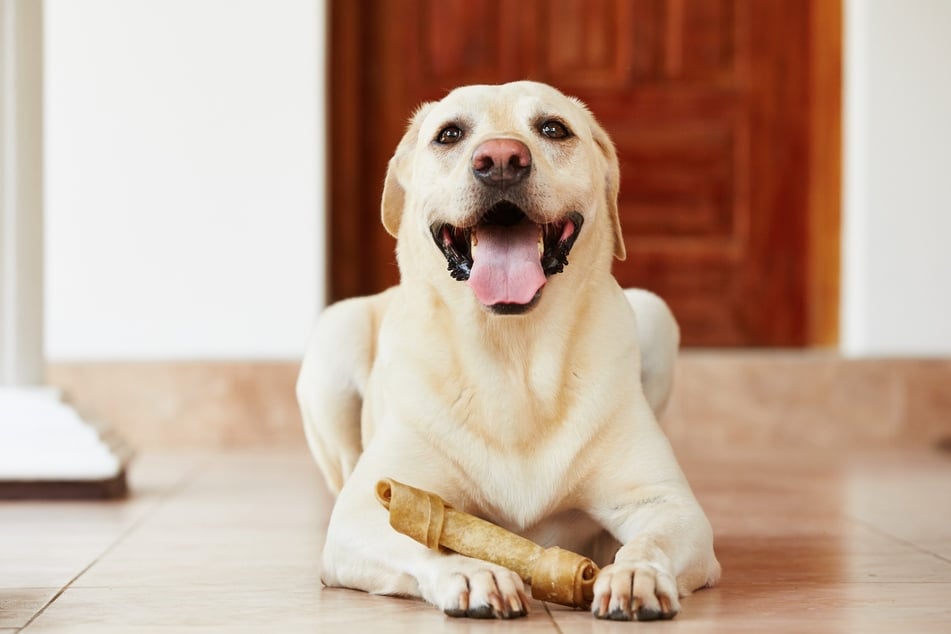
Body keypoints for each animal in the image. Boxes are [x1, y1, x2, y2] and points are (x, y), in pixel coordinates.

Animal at [300, 80, 720, 616]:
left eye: (553, 129)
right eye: (449, 134)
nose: (501, 159)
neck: (513, 356)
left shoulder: (666, 503)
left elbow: (652, 542)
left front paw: (635, 574)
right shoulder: (364, 512)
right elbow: (427, 538)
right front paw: (474, 572)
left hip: (656, 314)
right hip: (336, 333)